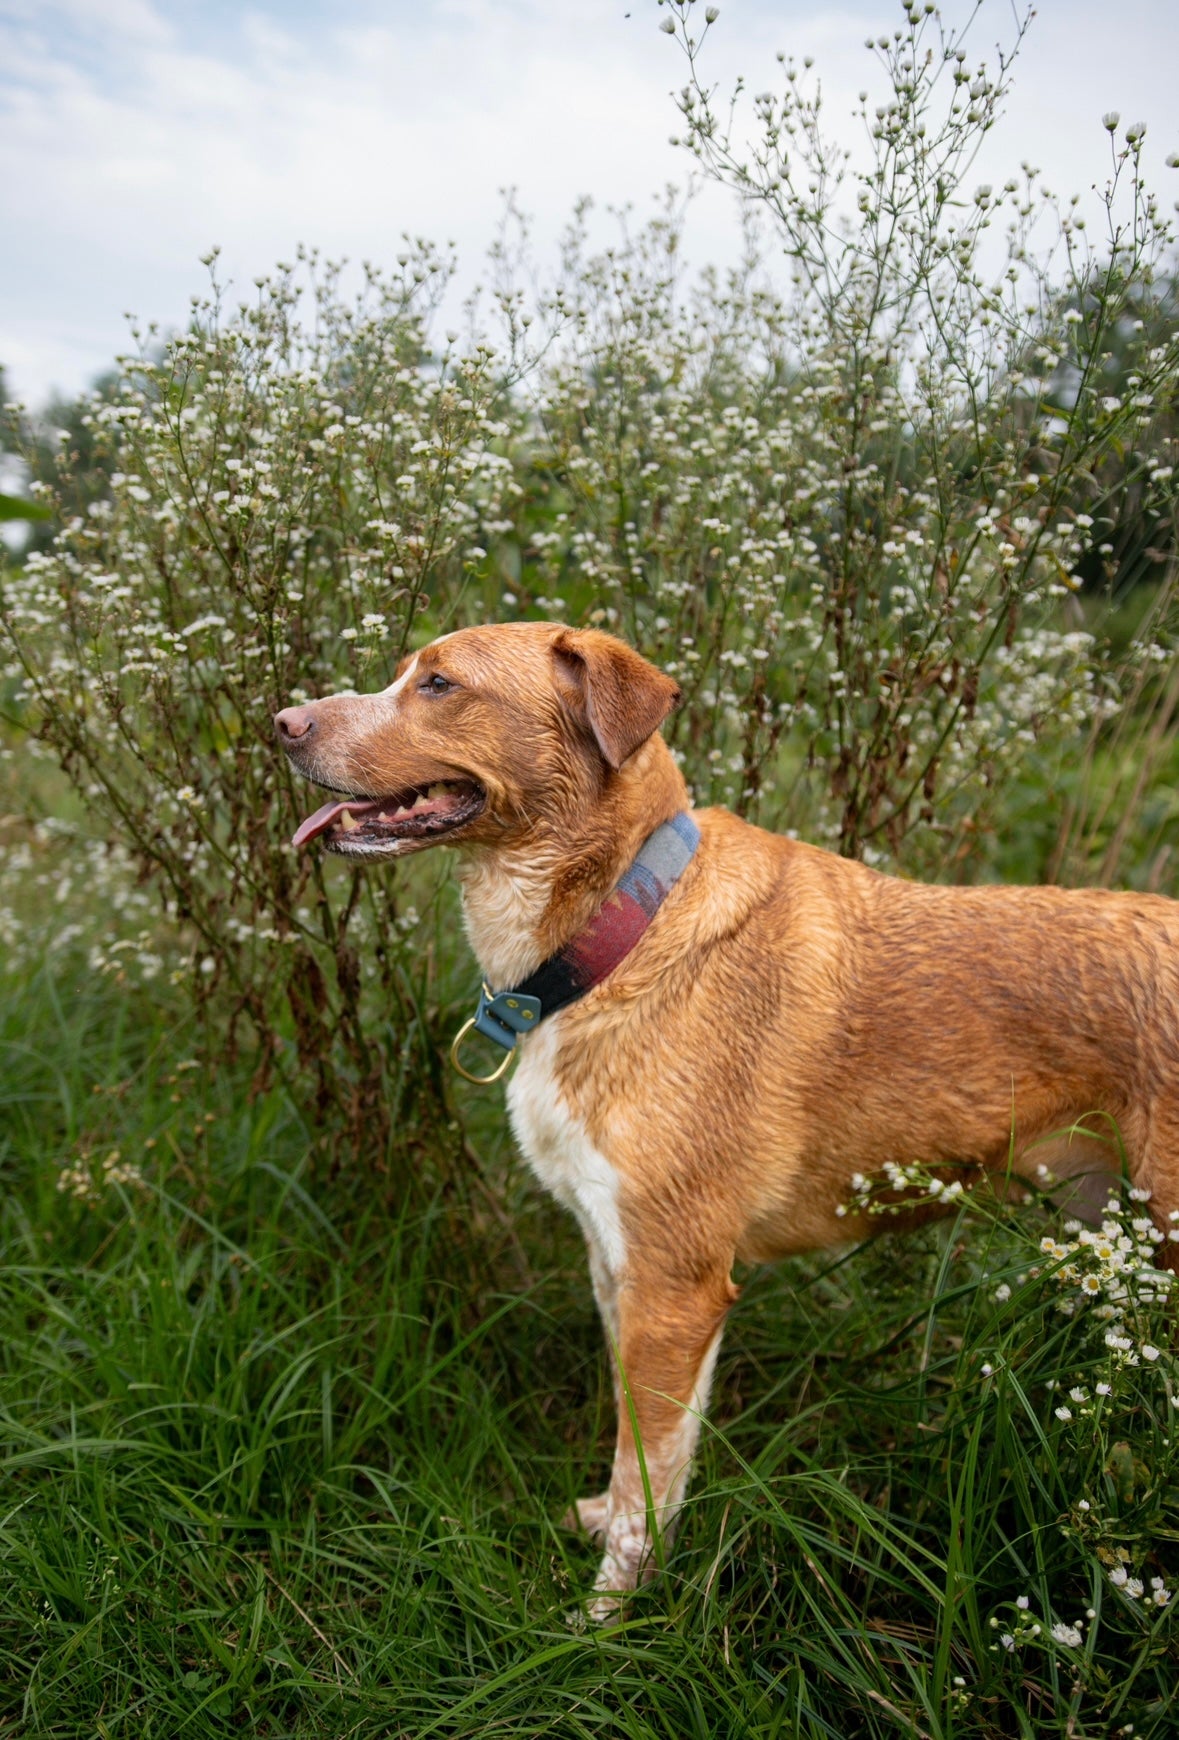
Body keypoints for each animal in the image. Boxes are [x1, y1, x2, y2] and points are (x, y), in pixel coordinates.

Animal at [276, 622, 1179, 1614]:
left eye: (438, 685)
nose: (280, 722)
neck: (617, 930)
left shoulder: (676, 1286)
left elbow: (645, 1477)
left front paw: (606, 1620)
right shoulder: (621, 1266)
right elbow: (647, 1460)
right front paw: (616, 1544)